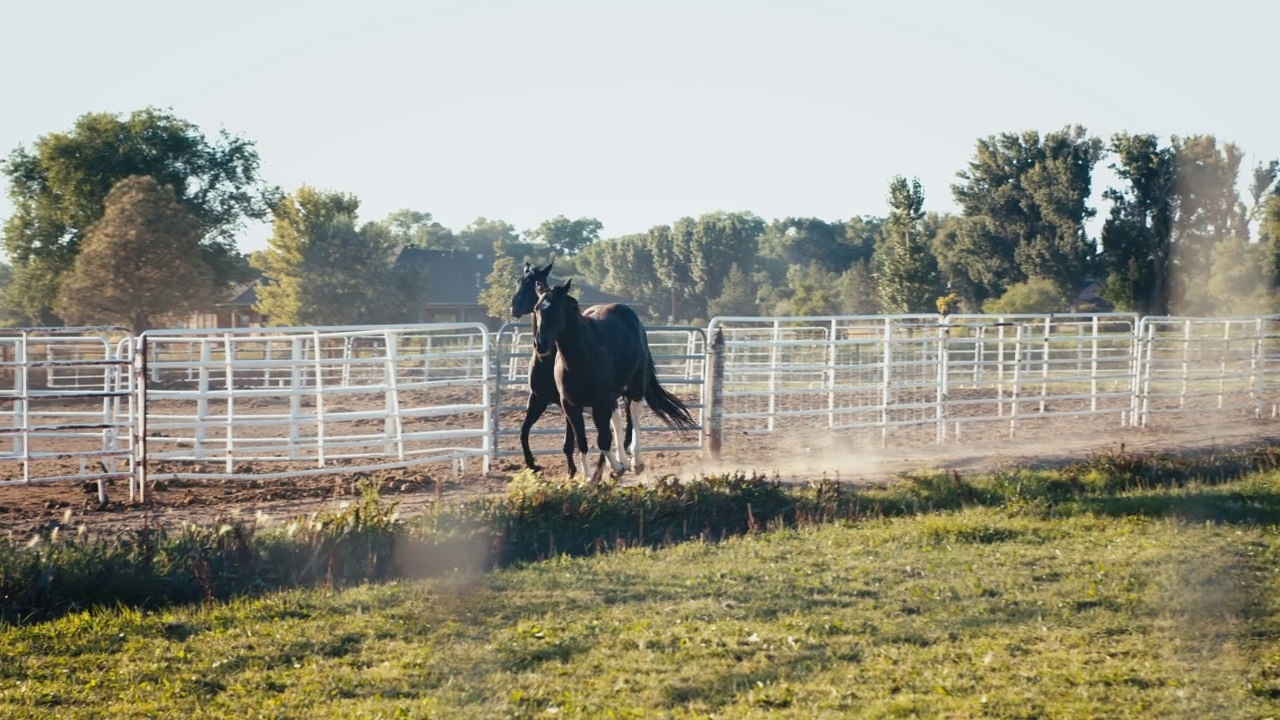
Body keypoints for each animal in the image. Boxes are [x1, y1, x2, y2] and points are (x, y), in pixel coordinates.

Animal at [529, 278, 696, 479]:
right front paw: (588, 476)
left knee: (634, 416)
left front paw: (615, 468)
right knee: (617, 421)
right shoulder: (570, 405)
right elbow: (583, 441)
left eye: (558, 308)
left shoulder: (600, 402)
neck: (581, 357)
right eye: (537, 308)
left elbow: (603, 439)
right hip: (613, 396)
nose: (541, 343)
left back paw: (635, 462)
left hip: (635, 387)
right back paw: (623, 460)